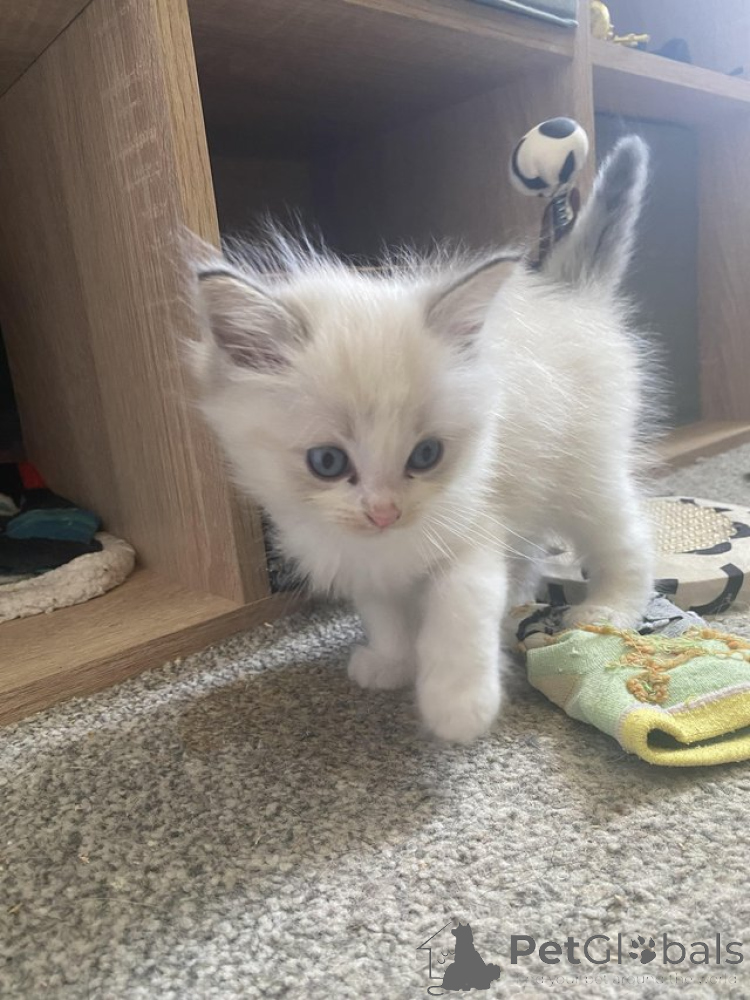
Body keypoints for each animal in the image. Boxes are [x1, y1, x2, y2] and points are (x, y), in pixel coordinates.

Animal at [187, 136, 656, 744]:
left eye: (426, 455)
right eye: (327, 461)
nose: (385, 512)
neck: (390, 544)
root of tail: (570, 294)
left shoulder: (474, 527)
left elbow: (458, 613)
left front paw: (458, 705)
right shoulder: (361, 557)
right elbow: (385, 615)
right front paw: (391, 663)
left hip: (583, 473)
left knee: (627, 540)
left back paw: (610, 610)